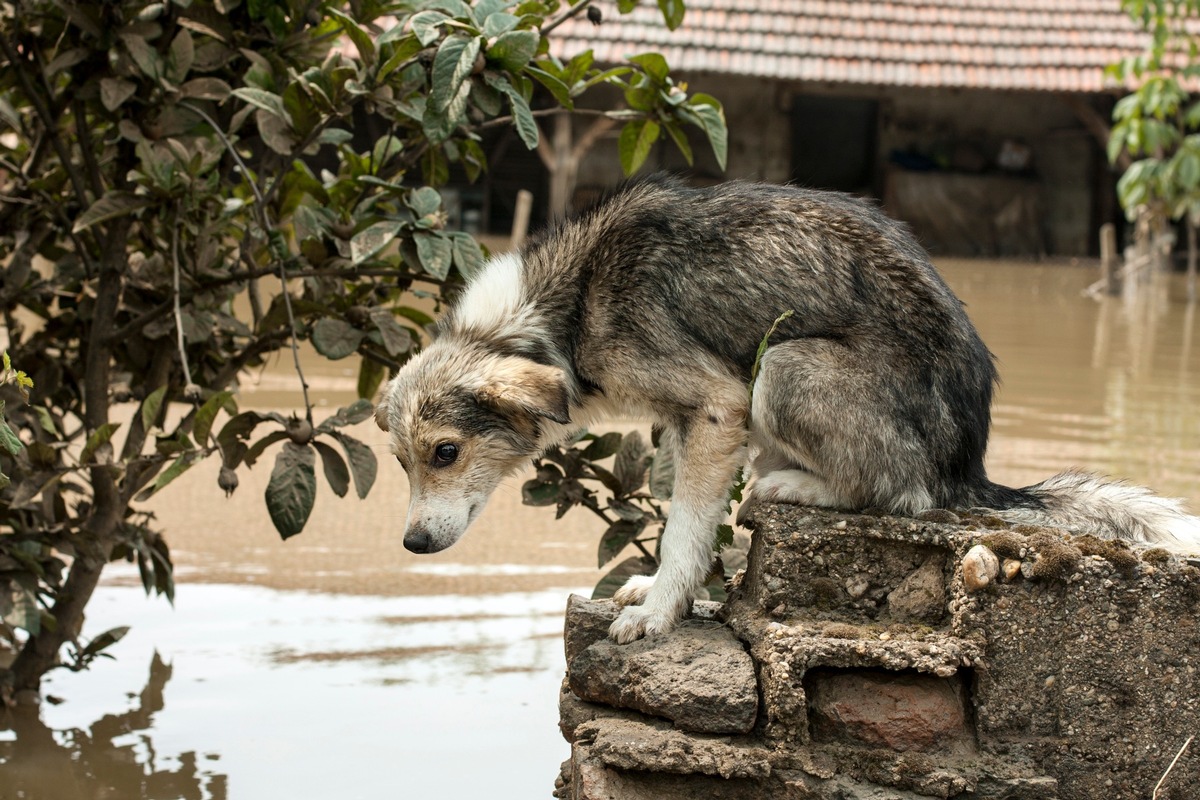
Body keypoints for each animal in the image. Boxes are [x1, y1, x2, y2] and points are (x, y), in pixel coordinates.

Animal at [376, 175, 1200, 642]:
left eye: (446, 452)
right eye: (402, 462)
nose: (410, 543)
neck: (560, 313)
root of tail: (970, 468)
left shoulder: (717, 404)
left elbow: (683, 529)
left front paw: (660, 613)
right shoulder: (687, 424)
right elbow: (686, 521)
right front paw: (664, 592)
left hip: (782, 366)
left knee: (902, 495)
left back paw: (796, 487)